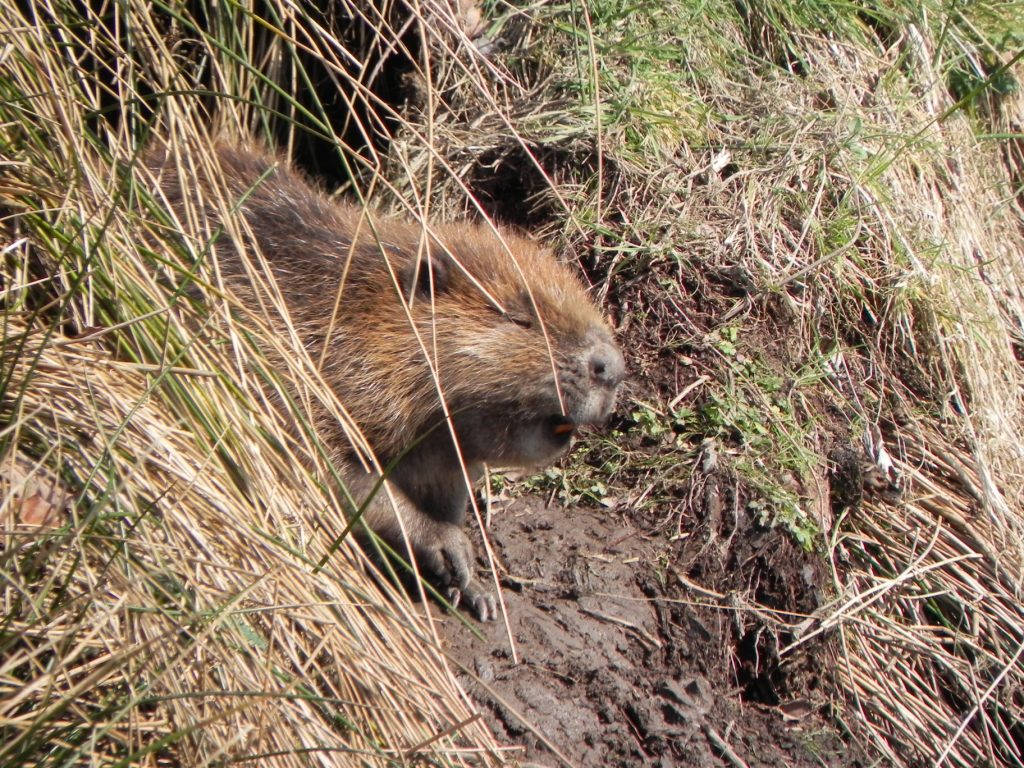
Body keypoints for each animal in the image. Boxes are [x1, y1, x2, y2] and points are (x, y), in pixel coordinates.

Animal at [144, 141, 622, 622]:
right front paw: (450, 548)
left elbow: (445, 492)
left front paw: (476, 590)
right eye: (520, 318)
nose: (613, 369)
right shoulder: (287, 373)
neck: (338, 305)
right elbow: (336, 474)